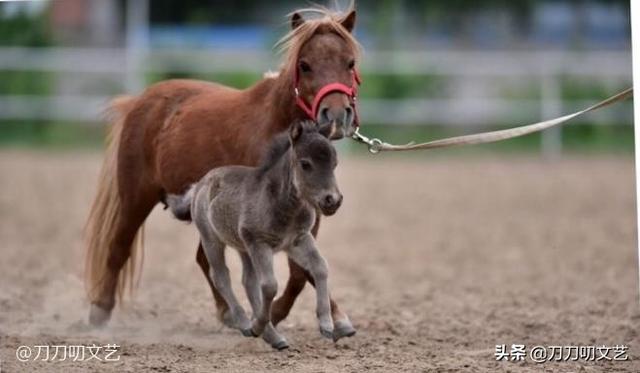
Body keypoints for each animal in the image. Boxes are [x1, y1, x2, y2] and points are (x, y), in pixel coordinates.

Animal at [168, 121, 342, 348]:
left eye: (334, 163)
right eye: (305, 164)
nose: (333, 200)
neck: (283, 203)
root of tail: (201, 182)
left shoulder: (298, 240)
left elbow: (320, 267)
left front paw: (326, 324)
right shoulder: (260, 243)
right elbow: (269, 286)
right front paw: (257, 325)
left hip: (243, 247)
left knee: (248, 281)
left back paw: (273, 337)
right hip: (212, 240)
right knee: (221, 276)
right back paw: (245, 323)